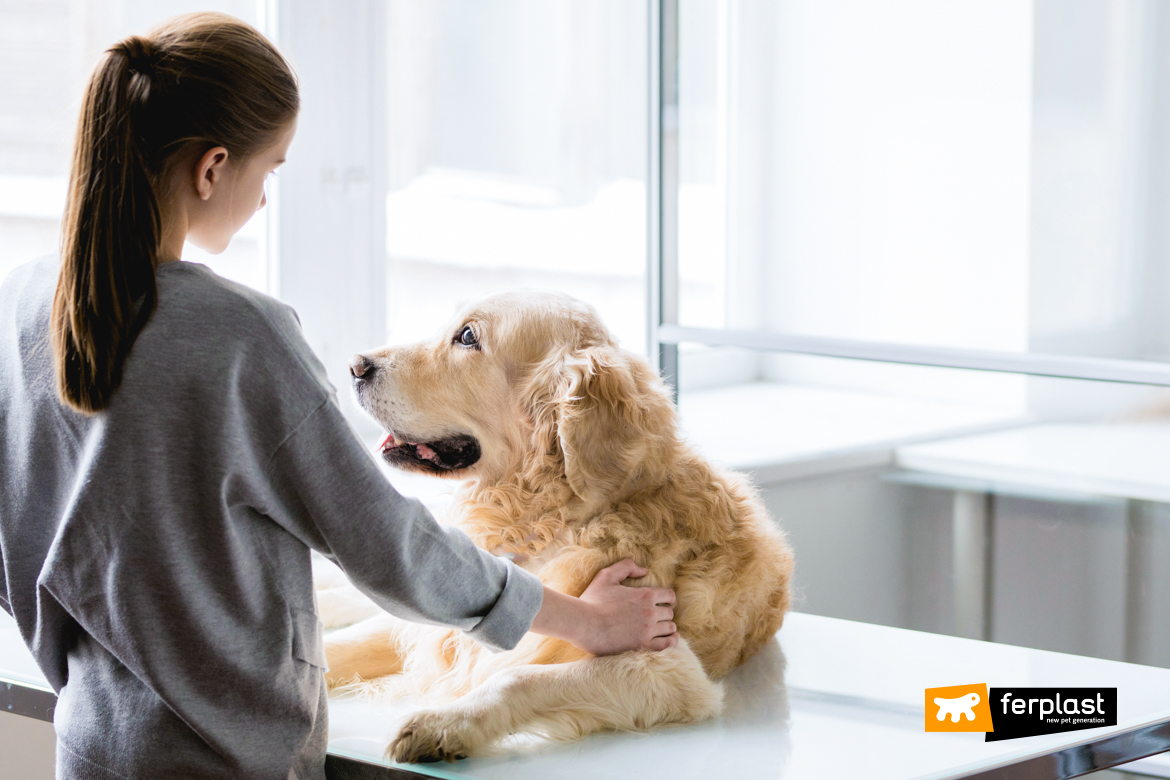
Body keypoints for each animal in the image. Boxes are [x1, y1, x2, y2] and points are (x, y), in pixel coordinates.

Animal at [322, 291, 795, 762]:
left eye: (468, 336)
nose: (355, 365)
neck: (548, 519)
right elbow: (344, 646)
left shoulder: (669, 667)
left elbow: (518, 677)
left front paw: (445, 723)